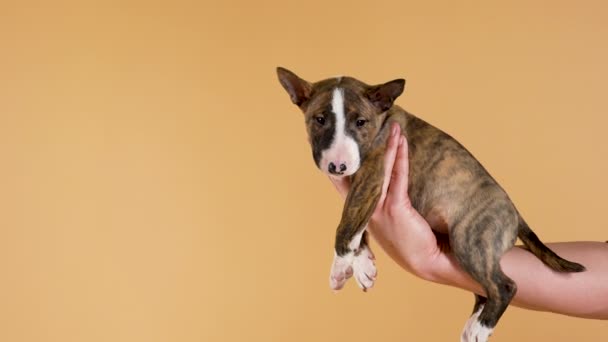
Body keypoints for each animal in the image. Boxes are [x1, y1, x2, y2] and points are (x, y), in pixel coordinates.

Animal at [276, 67, 584, 342]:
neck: (382, 120)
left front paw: (340, 268)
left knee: (504, 286)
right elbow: (357, 227)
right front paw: (363, 267)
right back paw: (473, 323)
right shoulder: (363, 189)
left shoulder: (372, 177)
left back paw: (481, 328)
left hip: (470, 240)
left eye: (360, 122)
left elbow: (346, 226)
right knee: (485, 288)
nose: (337, 166)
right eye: (319, 119)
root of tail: (516, 215)